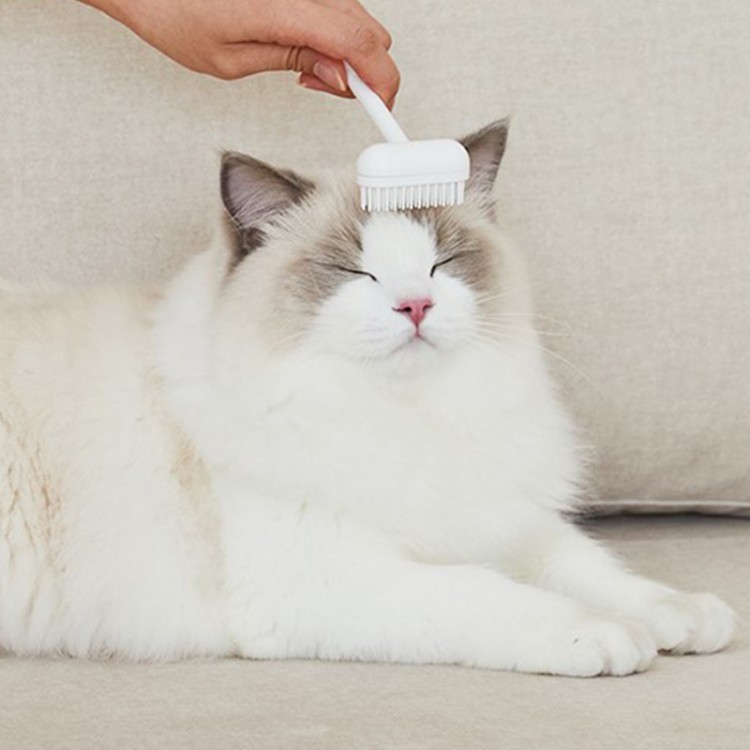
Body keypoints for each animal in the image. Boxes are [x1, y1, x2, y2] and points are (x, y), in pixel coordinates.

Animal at [0, 120, 736, 675]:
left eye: (443, 262)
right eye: (353, 271)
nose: (415, 304)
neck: (403, 416)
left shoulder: (494, 516)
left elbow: (590, 566)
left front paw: (681, 614)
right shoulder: (328, 579)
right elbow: (489, 592)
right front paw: (606, 635)